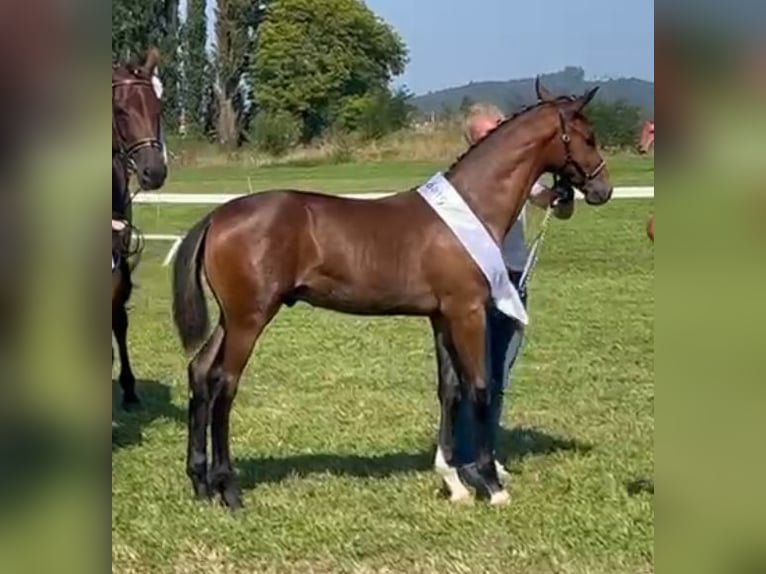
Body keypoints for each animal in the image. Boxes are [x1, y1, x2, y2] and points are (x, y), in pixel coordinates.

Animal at [171, 79, 616, 510]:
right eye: (588, 136)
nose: (603, 189)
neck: (473, 206)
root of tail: (217, 216)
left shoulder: (441, 316)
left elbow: (449, 390)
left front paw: (454, 482)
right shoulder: (467, 312)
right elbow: (479, 387)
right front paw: (492, 485)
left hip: (232, 318)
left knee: (201, 372)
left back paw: (200, 483)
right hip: (250, 319)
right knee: (225, 384)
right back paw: (229, 490)